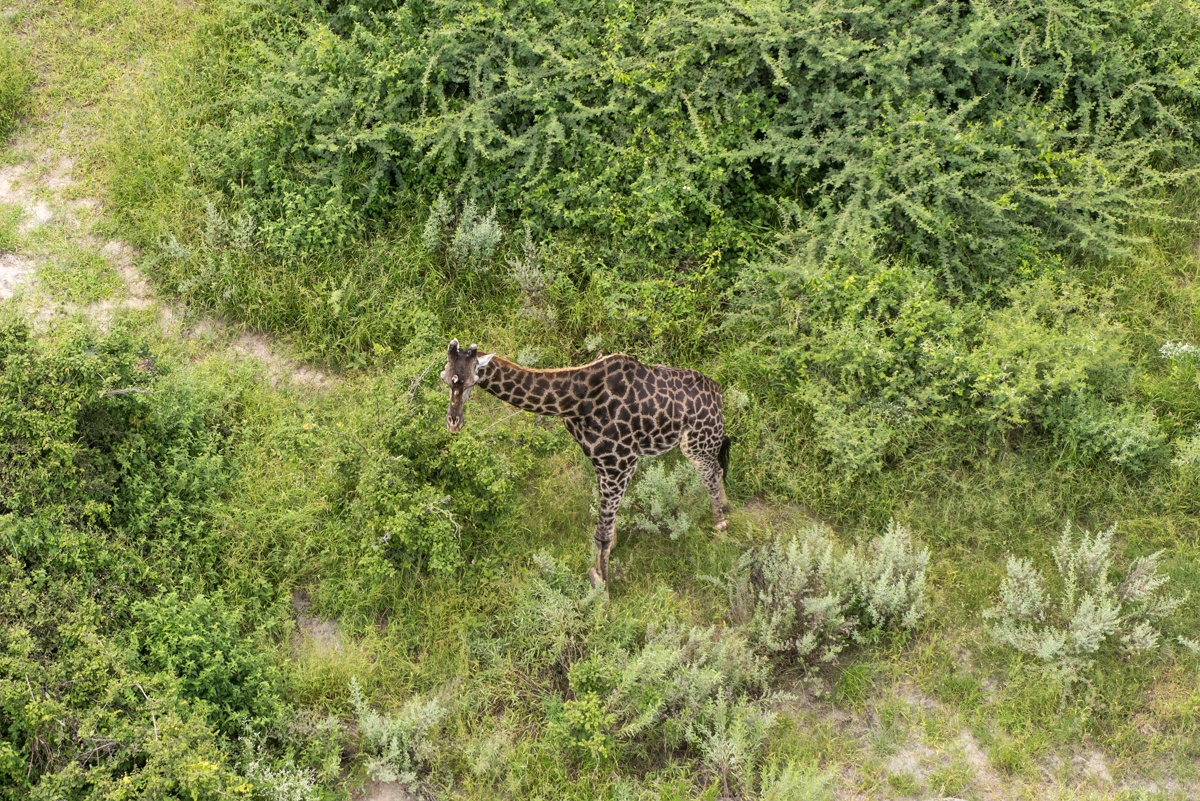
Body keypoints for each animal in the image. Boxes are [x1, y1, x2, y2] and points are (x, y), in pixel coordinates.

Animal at [444, 338, 729, 587]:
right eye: (444, 379)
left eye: (472, 381)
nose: (453, 422)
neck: (575, 401)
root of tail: (718, 392)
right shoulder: (602, 462)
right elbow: (606, 524)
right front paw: (611, 550)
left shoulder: (619, 463)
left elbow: (600, 534)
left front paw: (601, 586)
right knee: (718, 468)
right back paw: (725, 509)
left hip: (696, 442)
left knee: (710, 473)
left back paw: (721, 525)